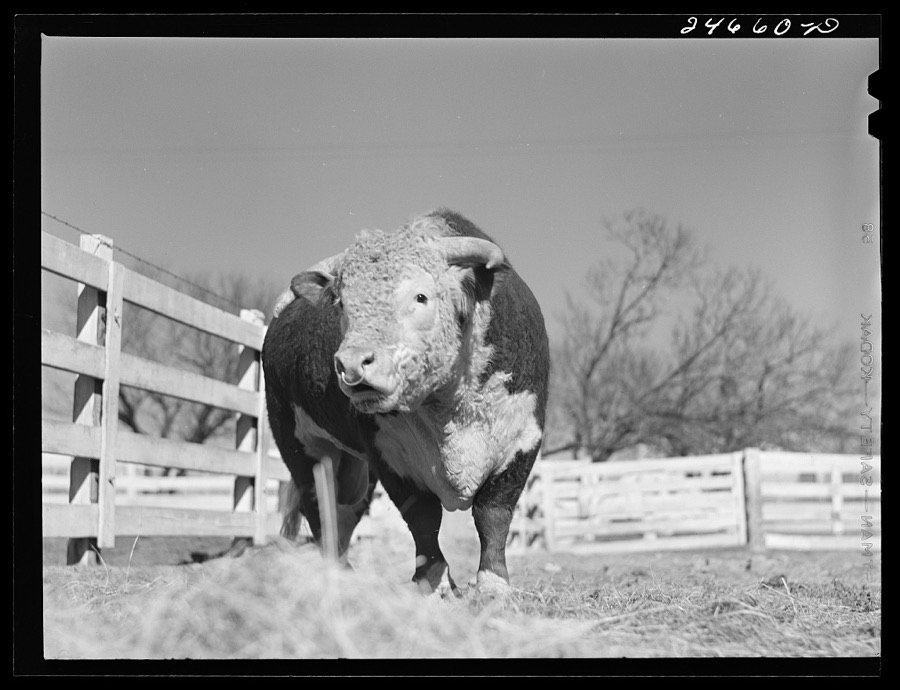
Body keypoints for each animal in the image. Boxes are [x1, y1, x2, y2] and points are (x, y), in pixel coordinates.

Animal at [262, 208, 549, 596]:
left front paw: (492, 584)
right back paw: (338, 577)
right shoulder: (388, 454)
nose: (352, 364)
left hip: (354, 467)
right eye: (342, 304)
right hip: (298, 445)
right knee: (320, 508)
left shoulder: (522, 439)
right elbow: (423, 519)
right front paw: (435, 583)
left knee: (346, 512)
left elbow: (494, 514)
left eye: (421, 297)